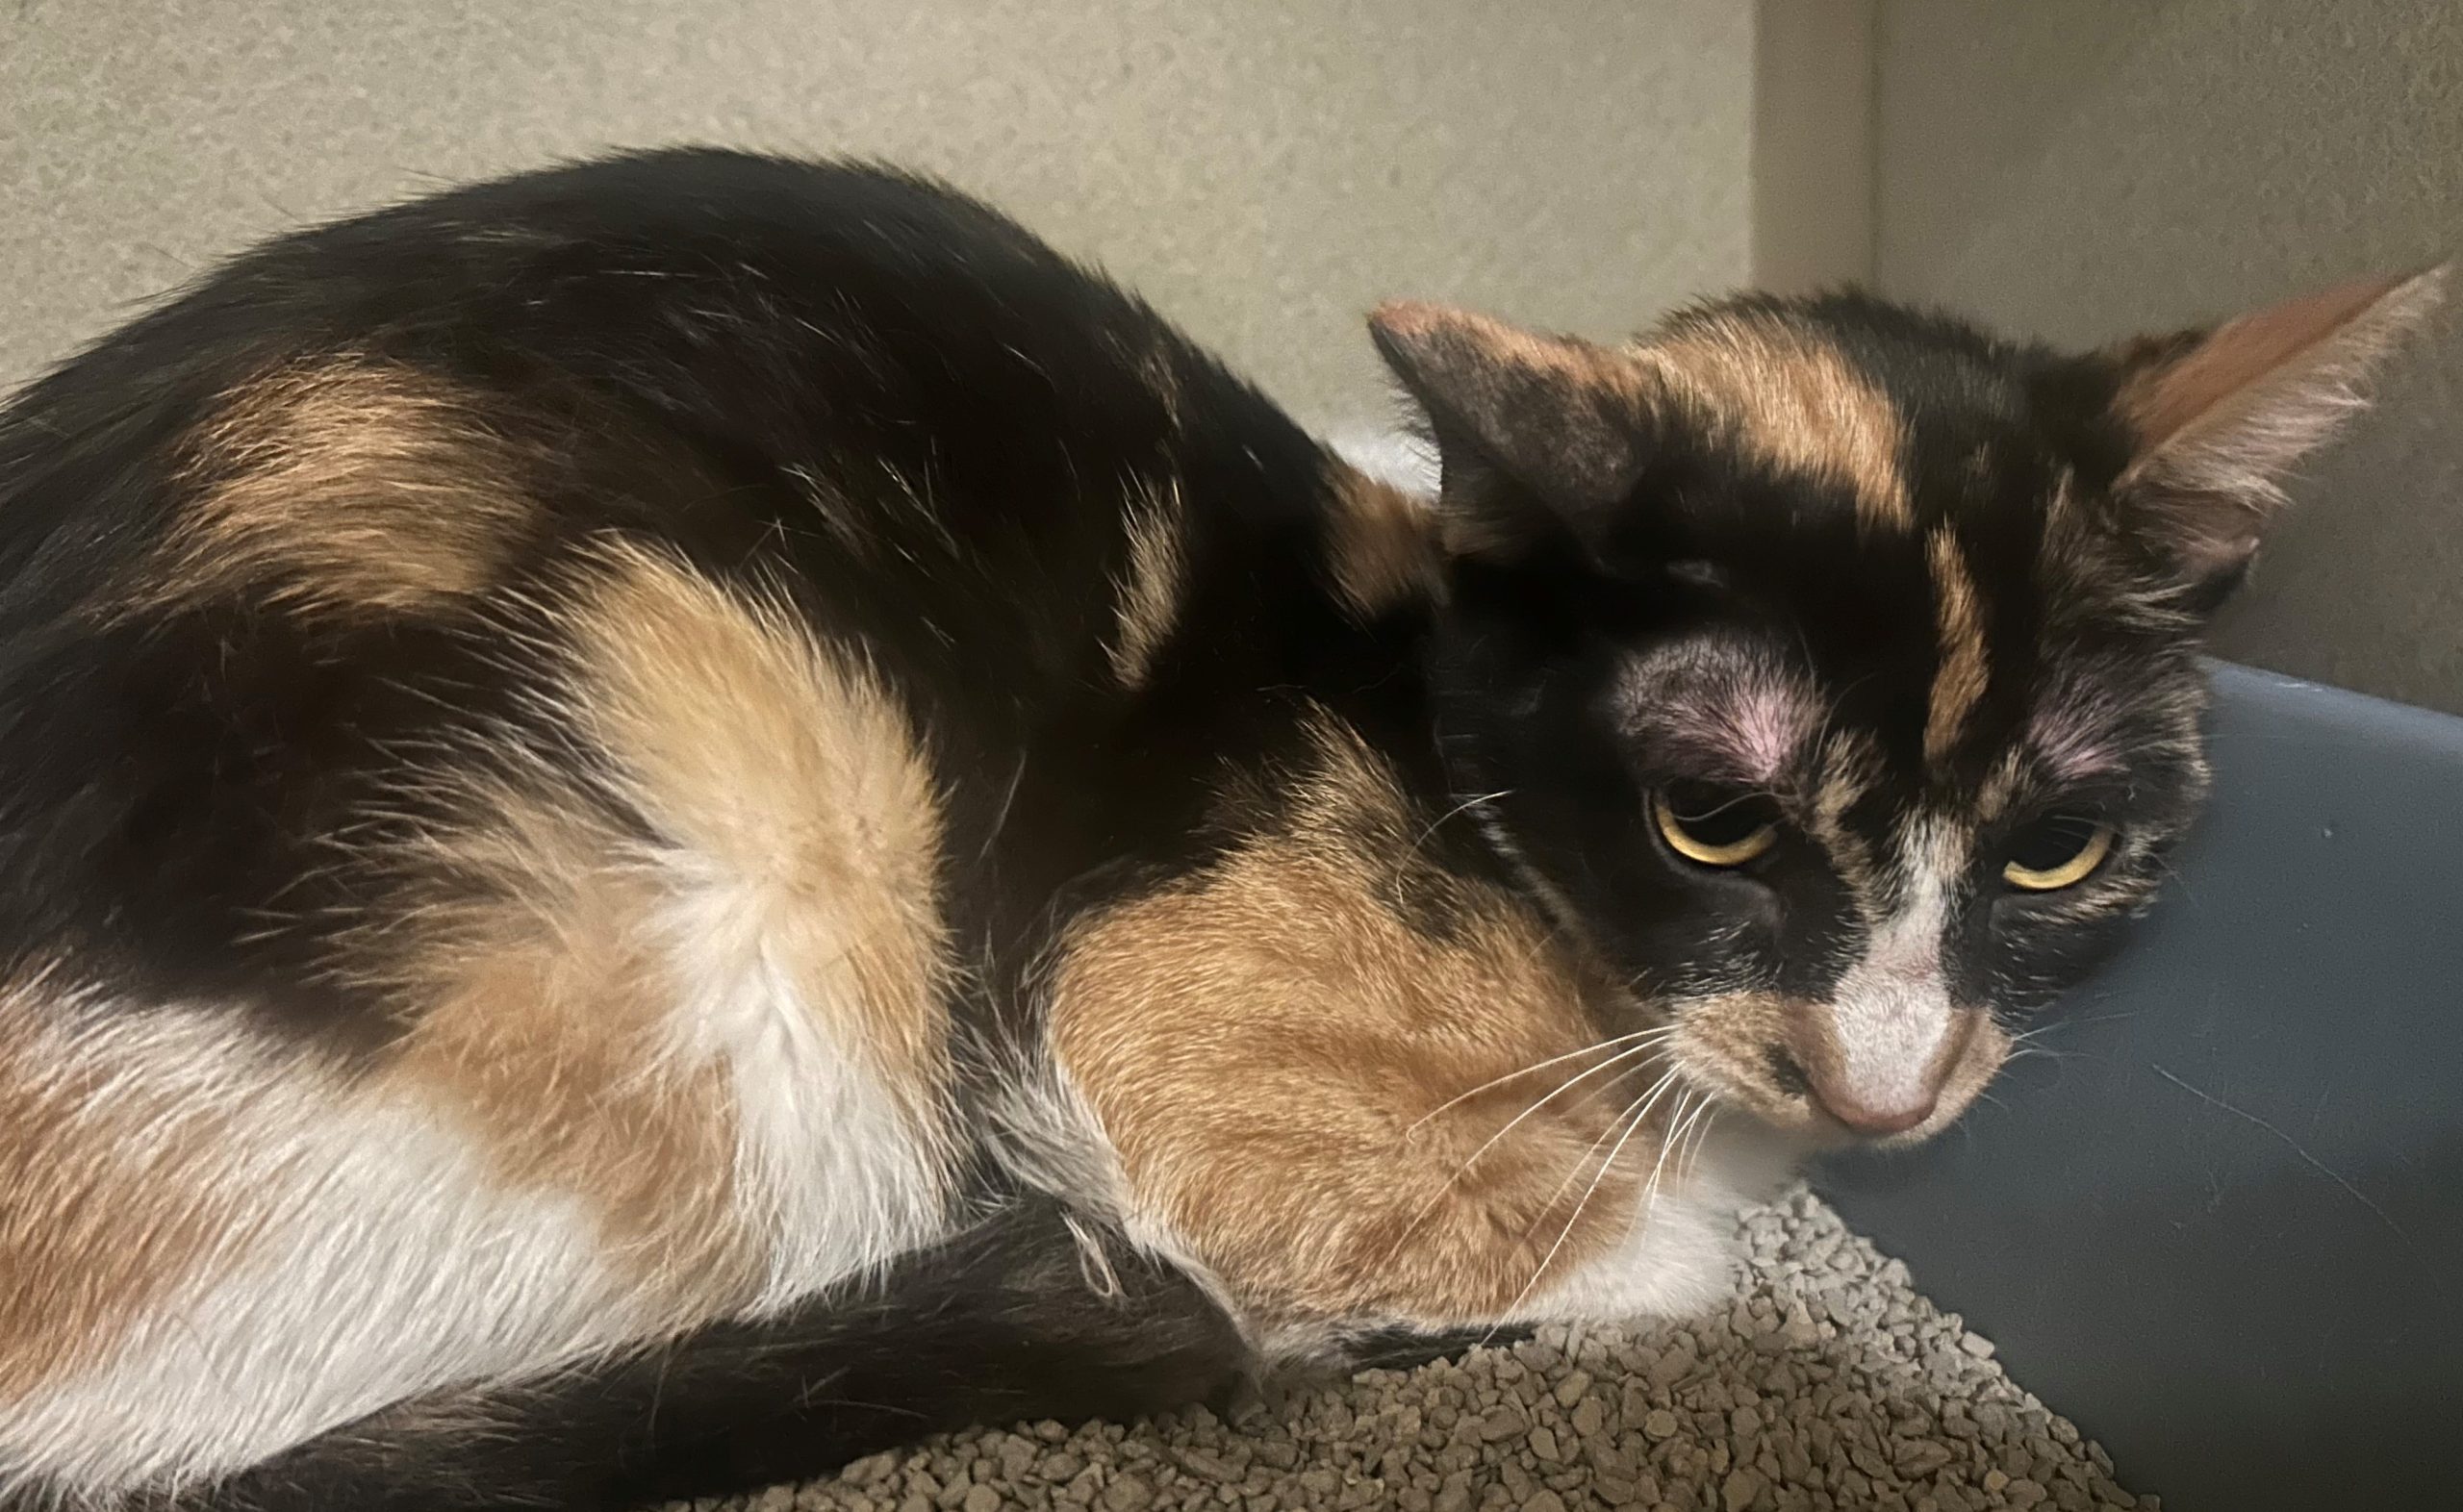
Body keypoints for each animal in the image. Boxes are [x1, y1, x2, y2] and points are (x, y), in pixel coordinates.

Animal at [0, 147, 2435, 1510]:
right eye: (1713, 819)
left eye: (2050, 851)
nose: (1887, 1081)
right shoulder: (1152, 1020)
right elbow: (1616, 1235)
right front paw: (1655, 1227)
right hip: (747, 874)